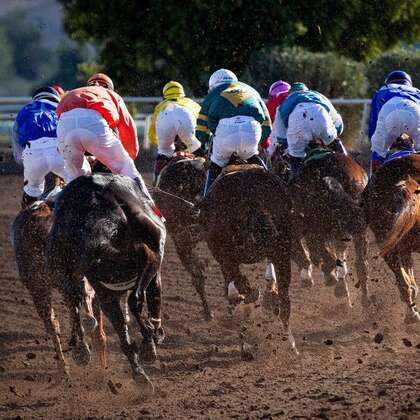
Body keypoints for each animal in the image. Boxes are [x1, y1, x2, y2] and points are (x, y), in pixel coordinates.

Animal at [199, 163, 296, 352]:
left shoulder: (223, 256)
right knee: (285, 298)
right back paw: (290, 342)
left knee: (238, 281)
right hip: (281, 250)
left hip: (225, 252)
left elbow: (234, 284)